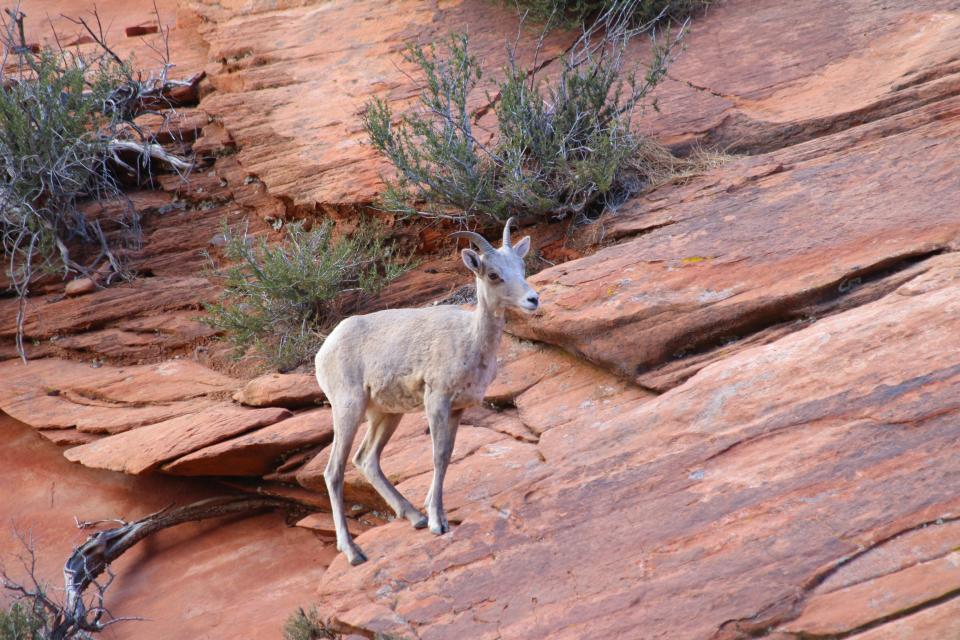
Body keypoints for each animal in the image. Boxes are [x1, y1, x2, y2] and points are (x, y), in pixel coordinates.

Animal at [316, 219, 536, 564]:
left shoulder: (457, 408)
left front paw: (431, 512)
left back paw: (414, 517)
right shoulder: (437, 401)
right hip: (348, 408)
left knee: (366, 460)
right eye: (493, 274)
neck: (470, 340)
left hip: (385, 414)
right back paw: (353, 552)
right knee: (334, 471)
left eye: (521, 266)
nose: (533, 300)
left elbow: (447, 454)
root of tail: (323, 350)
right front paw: (437, 522)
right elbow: (438, 455)